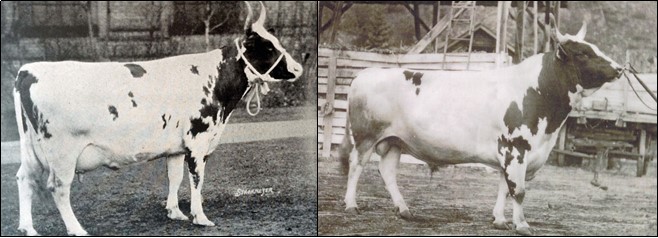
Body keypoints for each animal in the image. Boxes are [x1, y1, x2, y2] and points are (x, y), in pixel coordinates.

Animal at [14, 1, 302, 236]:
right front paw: (200, 217)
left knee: (24, 178)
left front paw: (175, 212)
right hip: (62, 151)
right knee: (58, 187)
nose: (298, 68)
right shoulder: (198, 139)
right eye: (267, 46)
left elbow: (174, 177)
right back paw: (76, 229)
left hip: (31, 148)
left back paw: (28, 228)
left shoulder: (175, 146)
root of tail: (28, 70)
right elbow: (197, 178)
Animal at [338, 22, 620, 236]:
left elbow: (504, 187)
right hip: (365, 137)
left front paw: (500, 220)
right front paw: (522, 225)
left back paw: (403, 209)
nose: (619, 68)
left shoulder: (510, 152)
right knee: (356, 165)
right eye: (583, 53)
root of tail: (366, 73)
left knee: (387, 171)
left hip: (395, 141)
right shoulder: (516, 147)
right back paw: (351, 205)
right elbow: (518, 191)